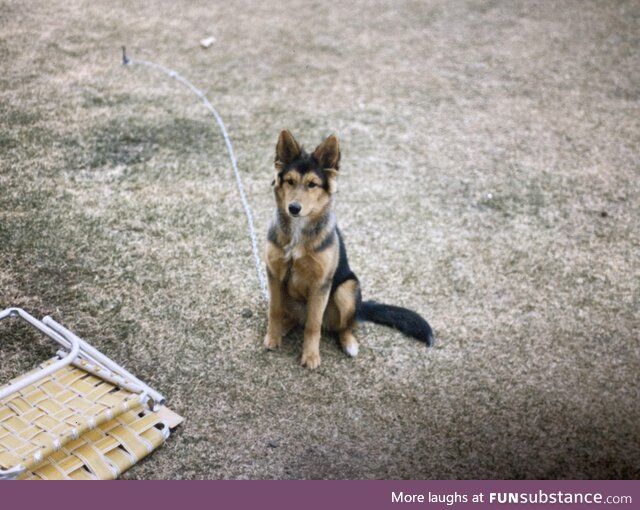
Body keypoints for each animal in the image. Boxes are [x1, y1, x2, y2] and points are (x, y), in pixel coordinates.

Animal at [262, 127, 432, 366]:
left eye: (312, 184)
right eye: (290, 181)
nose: (293, 208)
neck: (298, 231)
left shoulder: (321, 284)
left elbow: (313, 326)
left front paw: (311, 356)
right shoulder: (274, 274)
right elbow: (274, 311)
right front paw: (273, 337)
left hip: (347, 289)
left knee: (342, 325)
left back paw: (349, 342)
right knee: (296, 318)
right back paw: (286, 326)